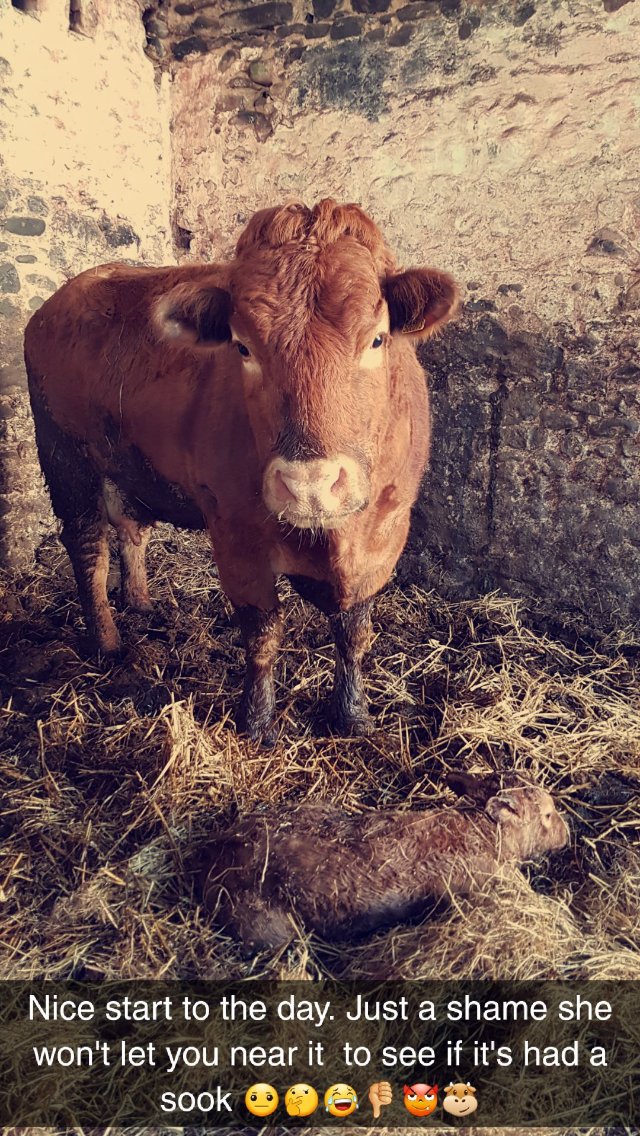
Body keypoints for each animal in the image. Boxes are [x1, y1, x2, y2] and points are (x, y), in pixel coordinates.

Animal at [24, 198, 458, 742]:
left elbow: (354, 632)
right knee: (88, 552)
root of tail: (72, 290)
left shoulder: (385, 532)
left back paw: (141, 602)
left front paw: (353, 714)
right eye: (243, 346)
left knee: (130, 529)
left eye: (377, 339)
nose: (309, 485)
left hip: (127, 465)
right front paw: (256, 720)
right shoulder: (235, 537)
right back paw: (107, 642)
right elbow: (262, 634)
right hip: (65, 459)